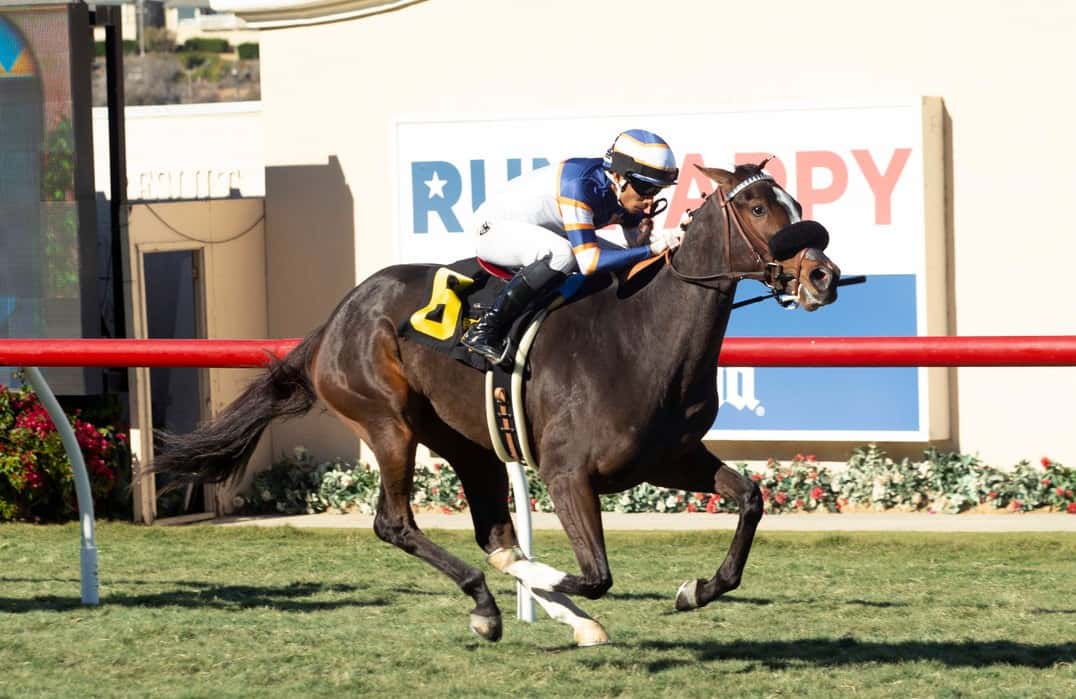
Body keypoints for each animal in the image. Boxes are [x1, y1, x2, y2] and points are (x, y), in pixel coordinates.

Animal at [151, 160, 839, 645]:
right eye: (757, 205)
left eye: (797, 204)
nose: (822, 276)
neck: (642, 338)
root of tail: (335, 318)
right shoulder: (568, 473)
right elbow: (595, 574)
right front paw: (546, 582)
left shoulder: (670, 457)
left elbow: (750, 499)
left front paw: (696, 589)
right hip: (387, 421)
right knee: (397, 523)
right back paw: (491, 604)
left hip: (468, 443)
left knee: (494, 534)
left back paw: (546, 613)